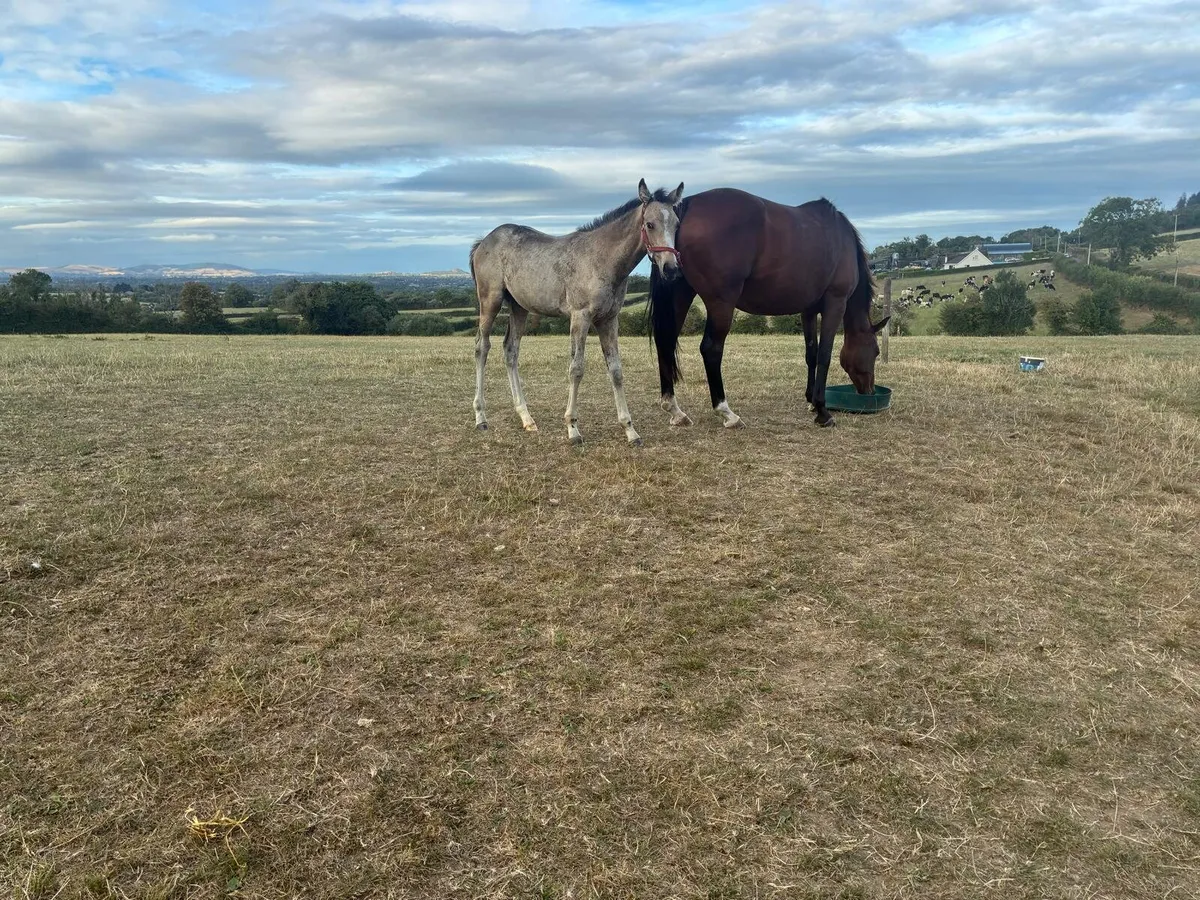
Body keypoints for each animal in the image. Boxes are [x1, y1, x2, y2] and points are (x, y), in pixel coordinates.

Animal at [471, 179, 684, 445]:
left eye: (676, 224)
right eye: (650, 224)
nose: (671, 269)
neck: (601, 259)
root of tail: (484, 242)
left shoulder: (609, 320)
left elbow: (616, 371)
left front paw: (630, 430)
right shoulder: (580, 317)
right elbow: (576, 369)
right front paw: (572, 428)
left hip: (519, 307)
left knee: (510, 351)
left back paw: (526, 418)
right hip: (490, 300)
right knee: (482, 347)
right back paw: (480, 417)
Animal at [647, 188, 888, 429]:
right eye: (876, 351)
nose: (869, 391)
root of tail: (689, 204)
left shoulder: (808, 311)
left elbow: (811, 354)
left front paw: (811, 400)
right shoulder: (835, 304)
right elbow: (824, 355)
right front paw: (822, 410)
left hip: (679, 295)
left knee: (665, 342)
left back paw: (674, 409)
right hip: (721, 303)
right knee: (711, 349)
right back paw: (727, 413)